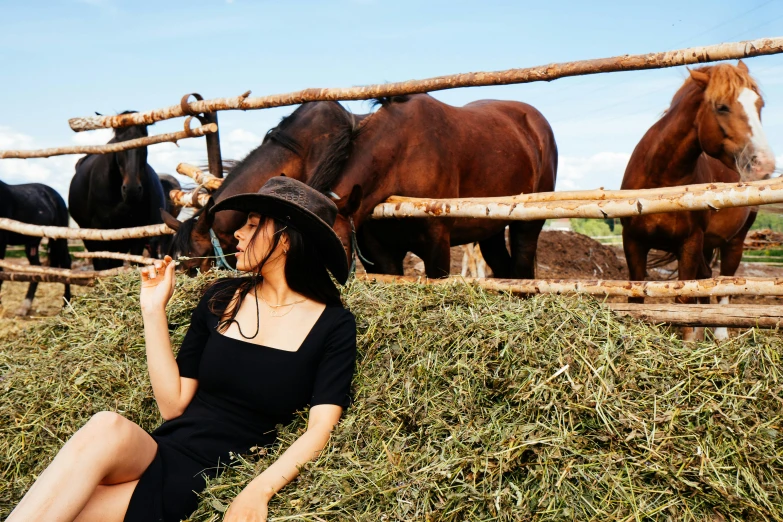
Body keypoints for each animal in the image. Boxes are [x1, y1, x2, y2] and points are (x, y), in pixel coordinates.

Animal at [0, 181, 71, 314]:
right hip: (32, 242)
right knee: (36, 266)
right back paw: (25, 306)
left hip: (59, 236)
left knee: (66, 263)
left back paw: (66, 304)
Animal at [68, 112, 166, 270]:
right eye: (118, 141)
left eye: (144, 140)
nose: (132, 190)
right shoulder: (98, 229)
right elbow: (102, 264)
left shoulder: (137, 231)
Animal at [620, 61, 776, 340]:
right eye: (722, 106)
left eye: (760, 105)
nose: (764, 165)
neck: (661, 181)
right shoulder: (633, 242)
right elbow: (636, 299)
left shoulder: (689, 243)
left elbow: (683, 299)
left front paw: (688, 339)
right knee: (706, 278)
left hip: (734, 242)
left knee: (725, 284)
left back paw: (720, 334)